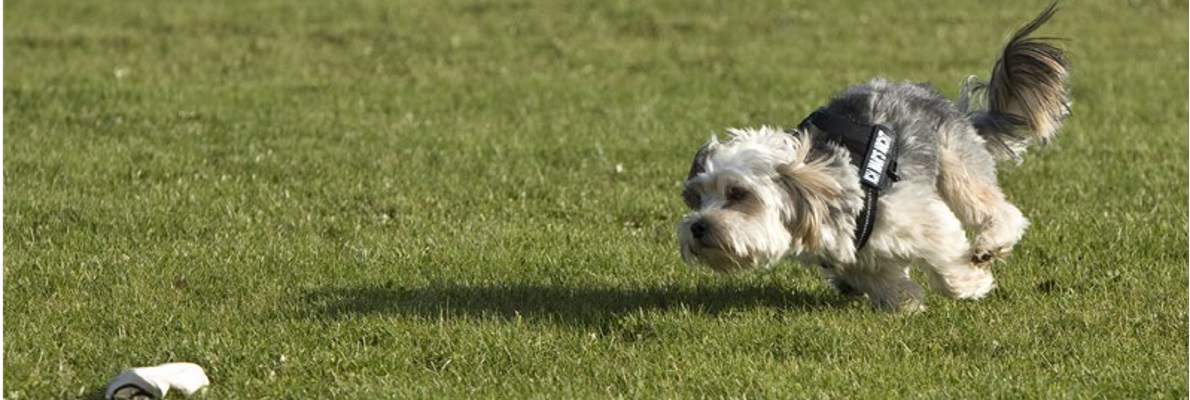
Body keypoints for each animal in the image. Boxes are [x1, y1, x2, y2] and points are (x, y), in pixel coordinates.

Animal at [675, 5, 1075, 311]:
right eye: (696, 197)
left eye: (738, 194)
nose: (697, 226)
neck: (826, 195)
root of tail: (947, 103)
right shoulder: (854, 257)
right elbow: (880, 277)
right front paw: (905, 301)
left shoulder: (922, 218)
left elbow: (945, 259)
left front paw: (970, 284)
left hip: (957, 166)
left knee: (1000, 210)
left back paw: (989, 245)